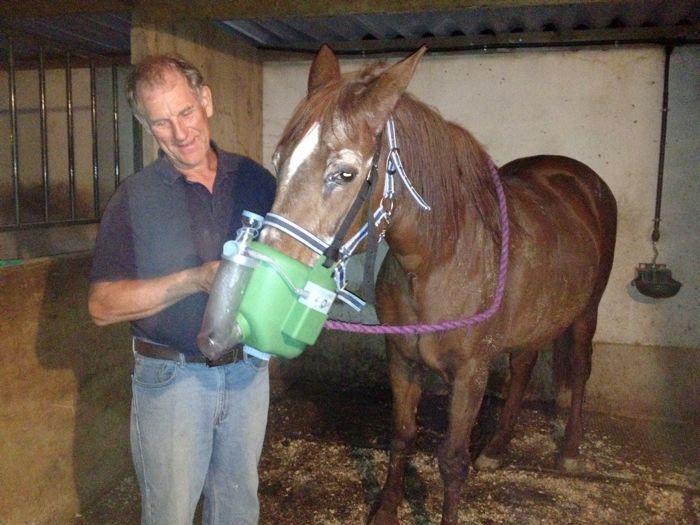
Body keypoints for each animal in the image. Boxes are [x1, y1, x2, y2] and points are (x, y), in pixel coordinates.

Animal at [260, 45, 617, 525]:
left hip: (585, 312)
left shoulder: (469, 374)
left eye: (345, 174)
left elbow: (451, 459)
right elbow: (401, 434)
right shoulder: (401, 359)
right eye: (279, 162)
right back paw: (497, 448)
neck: (435, 262)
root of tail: (579, 179)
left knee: (578, 370)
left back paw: (572, 451)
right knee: (523, 367)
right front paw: (385, 510)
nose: (268, 267)